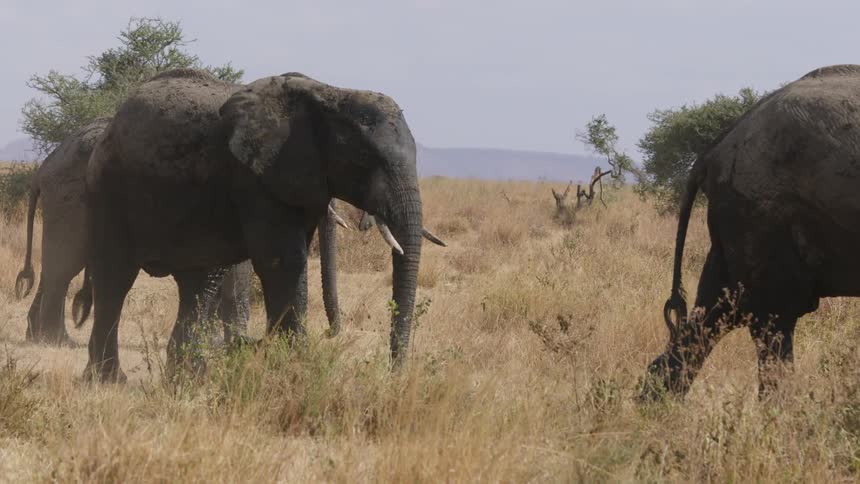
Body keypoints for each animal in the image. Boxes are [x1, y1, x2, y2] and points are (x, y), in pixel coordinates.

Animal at [80, 68, 429, 382]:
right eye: (363, 159)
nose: (394, 376)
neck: (328, 93)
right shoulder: (254, 178)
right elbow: (283, 262)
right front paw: (295, 370)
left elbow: (289, 262)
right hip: (107, 188)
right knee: (114, 278)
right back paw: (108, 379)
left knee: (196, 284)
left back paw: (186, 377)